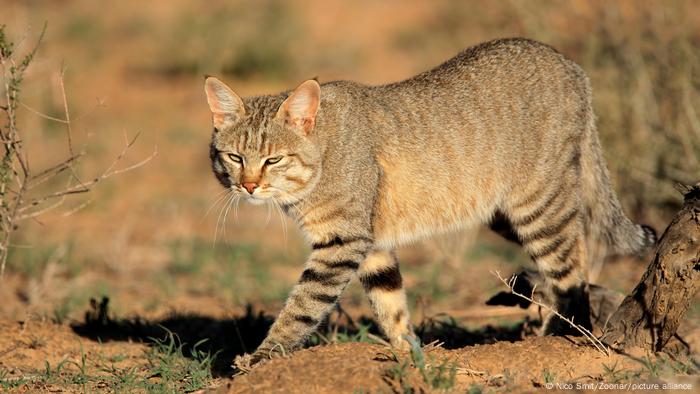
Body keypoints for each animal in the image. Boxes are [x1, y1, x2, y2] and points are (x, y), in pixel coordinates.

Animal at [202, 38, 656, 364]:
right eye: (235, 157)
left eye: (273, 159)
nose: (248, 186)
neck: (321, 156)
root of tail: (572, 66)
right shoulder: (373, 244)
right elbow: (391, 304)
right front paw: (409, 353)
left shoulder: (342, 243)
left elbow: (302, 306)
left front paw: (263, 356)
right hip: (503, 213)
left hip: (538, 204)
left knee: (574, 260)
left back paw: (565, 335)